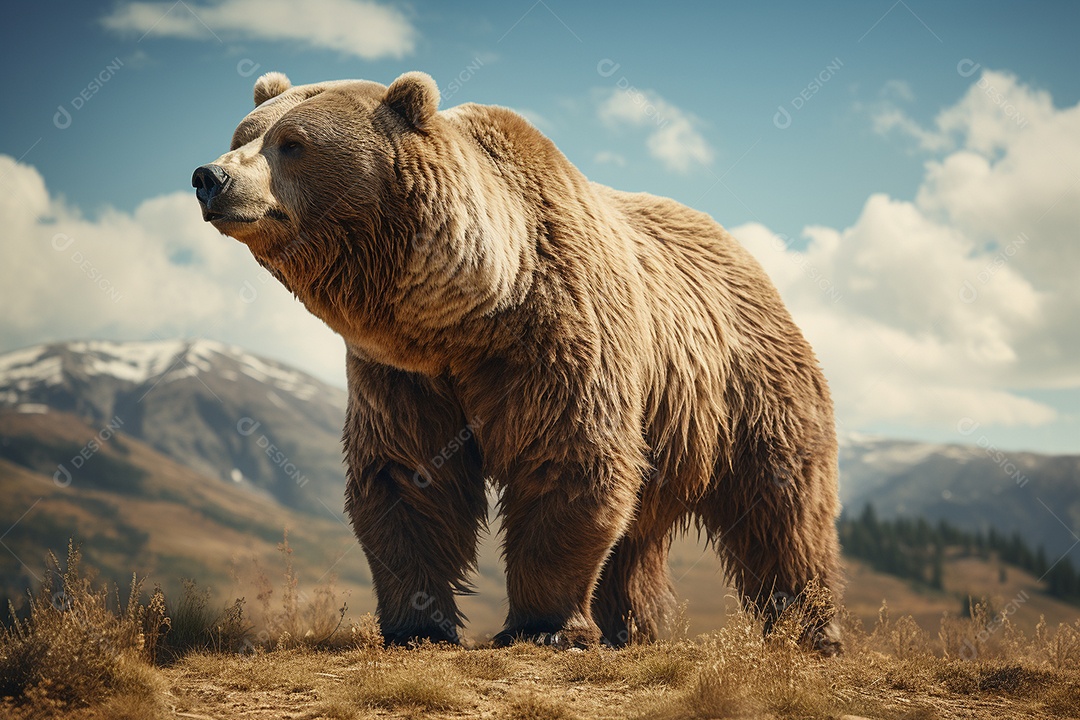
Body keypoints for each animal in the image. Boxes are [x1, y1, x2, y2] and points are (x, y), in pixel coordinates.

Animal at [193, 70, 843, 653]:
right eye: (244, 133)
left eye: (293, 143)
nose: (209, 176)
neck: (470, 314)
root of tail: (743, 253)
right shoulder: (401, 373)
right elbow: (408, 477)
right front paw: (416, 624)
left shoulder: (559, 336)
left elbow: (566, 457)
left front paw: (544, 624)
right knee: (641, 531)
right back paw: (633, 630)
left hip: (751, 386)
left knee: (784, 508)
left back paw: (811, 631)